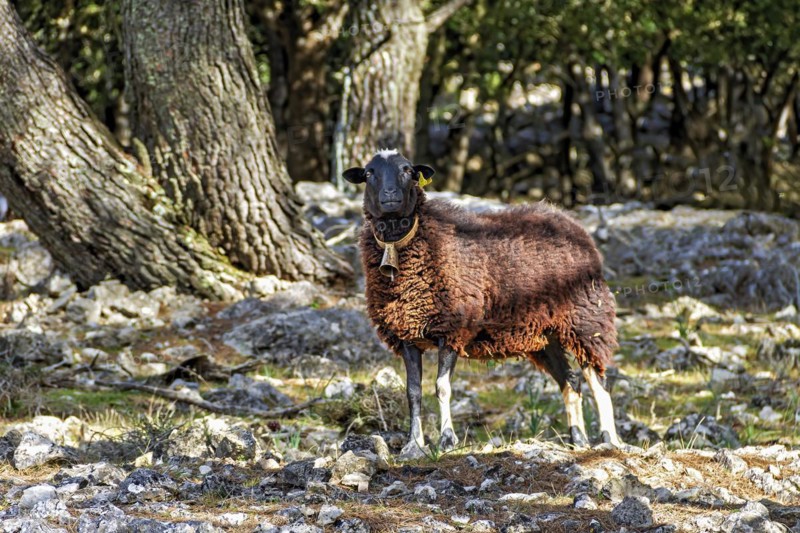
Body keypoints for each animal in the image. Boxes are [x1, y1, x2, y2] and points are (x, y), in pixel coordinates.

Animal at [344, 149, 622, 458]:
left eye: (407, 170)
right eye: (369, 173)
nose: (390, 195)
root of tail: (569, 221)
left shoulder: (451, 328)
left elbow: (442, 387)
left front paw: (447, 441)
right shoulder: (406, 334)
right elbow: (413, 392)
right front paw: (412, 445)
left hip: (586, 321)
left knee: (598, 382)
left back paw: (609, 440)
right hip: (546, 335)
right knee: (571, 384)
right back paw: (578, 441)